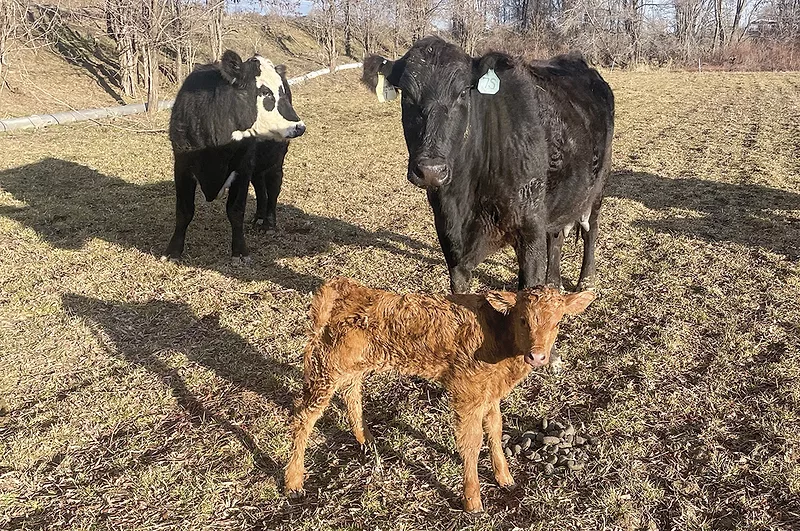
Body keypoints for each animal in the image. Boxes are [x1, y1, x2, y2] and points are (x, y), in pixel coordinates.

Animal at [164, 50, 305, 263]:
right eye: (265, 91)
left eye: (282, 91)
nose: (299, 126)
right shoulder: (181, 165)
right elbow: (184, 210)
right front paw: (173, 251)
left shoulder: (242, 168)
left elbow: (236, 210)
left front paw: (240, 252)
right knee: (261, 188)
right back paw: (259, 218)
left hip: (276, 160)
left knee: (273, 188)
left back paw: (268, 224)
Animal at [284, 277, 595, 512]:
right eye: (523, 320)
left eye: (558, 322)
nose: (538, 356)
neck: (497, 337)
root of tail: (342, 288)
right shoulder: (467, 392)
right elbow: (471, 441)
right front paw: (473, 500)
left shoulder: (490, 393)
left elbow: (495, 429)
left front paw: (505, 477)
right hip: (326, 369)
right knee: (303, 417)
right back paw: (294, 482)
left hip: (352, 366)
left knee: (351, 394)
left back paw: (366, 440)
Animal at [362, 37, 614, 294]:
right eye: (406, 95)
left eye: (463, 92)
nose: (431, 171)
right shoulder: (449, 241)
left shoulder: (531, 231)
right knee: (556, 235)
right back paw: (553, 284)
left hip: (599, 184)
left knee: (591, 228)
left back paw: (586, 281)